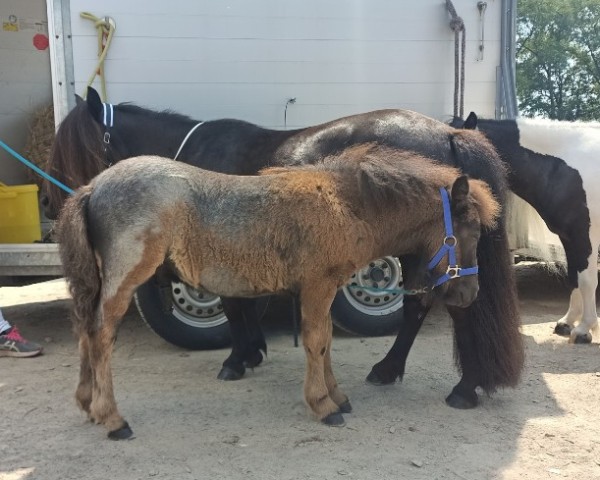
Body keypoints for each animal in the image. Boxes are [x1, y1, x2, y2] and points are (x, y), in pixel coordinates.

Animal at [42, 86, 524, 408]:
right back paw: (400, 372)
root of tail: (448, 133)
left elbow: (233, 304)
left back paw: (454, 386)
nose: (49, 204)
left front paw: (236, 359)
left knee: (441, 305)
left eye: (71, 147)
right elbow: (244, 302)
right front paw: (252, 351)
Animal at [56, 145, 500, 438]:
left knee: (86, 330)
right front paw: (324, 405)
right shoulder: (318, 286)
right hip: (125, 276)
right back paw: (112, 418)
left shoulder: (322, 289)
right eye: (470, 231)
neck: (343, 204)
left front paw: (337, 396)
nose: (469, 293)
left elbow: (325, 343)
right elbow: (316, 341)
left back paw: (87, 404)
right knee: (100, 333)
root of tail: (92, 187)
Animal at [458, 112, 596, 344]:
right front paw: (567, 322)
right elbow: (574, 277)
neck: (564, 168)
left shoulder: (584, 235)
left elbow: (586, 280)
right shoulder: (568, 237)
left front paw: (584, 329)